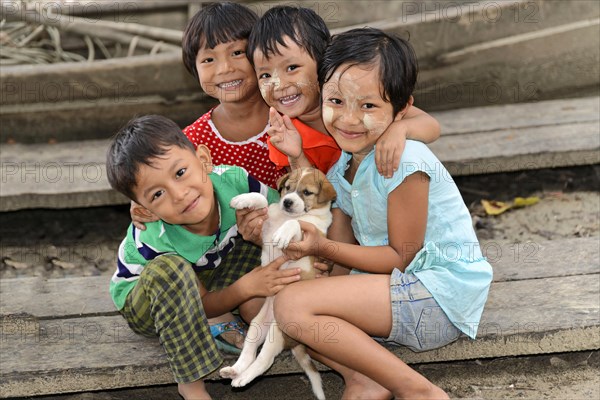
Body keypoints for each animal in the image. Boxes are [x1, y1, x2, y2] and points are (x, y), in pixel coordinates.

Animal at [219, 167, 336, 398]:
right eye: (287, 188)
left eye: (306, 192)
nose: (287, 202)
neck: (287, 216)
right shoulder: (266, 226)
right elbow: (264, 201)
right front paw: (244, 199)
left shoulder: (307, 238)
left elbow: (297, 223)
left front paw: (285, 232)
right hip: (256, 326)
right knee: (249, 353)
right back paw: (234, 371)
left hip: (278, 332)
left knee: (264, 360)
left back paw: (242, 378)